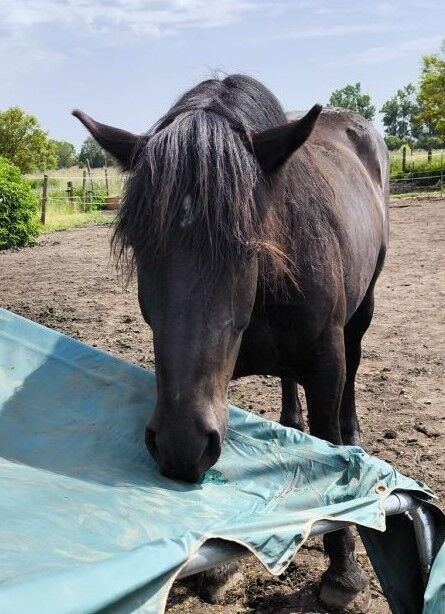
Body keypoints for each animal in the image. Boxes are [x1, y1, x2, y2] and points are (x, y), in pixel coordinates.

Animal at [73, 74, 388, 612]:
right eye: (141, 246)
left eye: (245, 247)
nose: (178, 447)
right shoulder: (219, 378)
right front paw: (223, 566)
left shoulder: (326, 365)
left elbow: (332, 450)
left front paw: (344, 570)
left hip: (362, 310)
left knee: (352, 378)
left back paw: (354, 437)